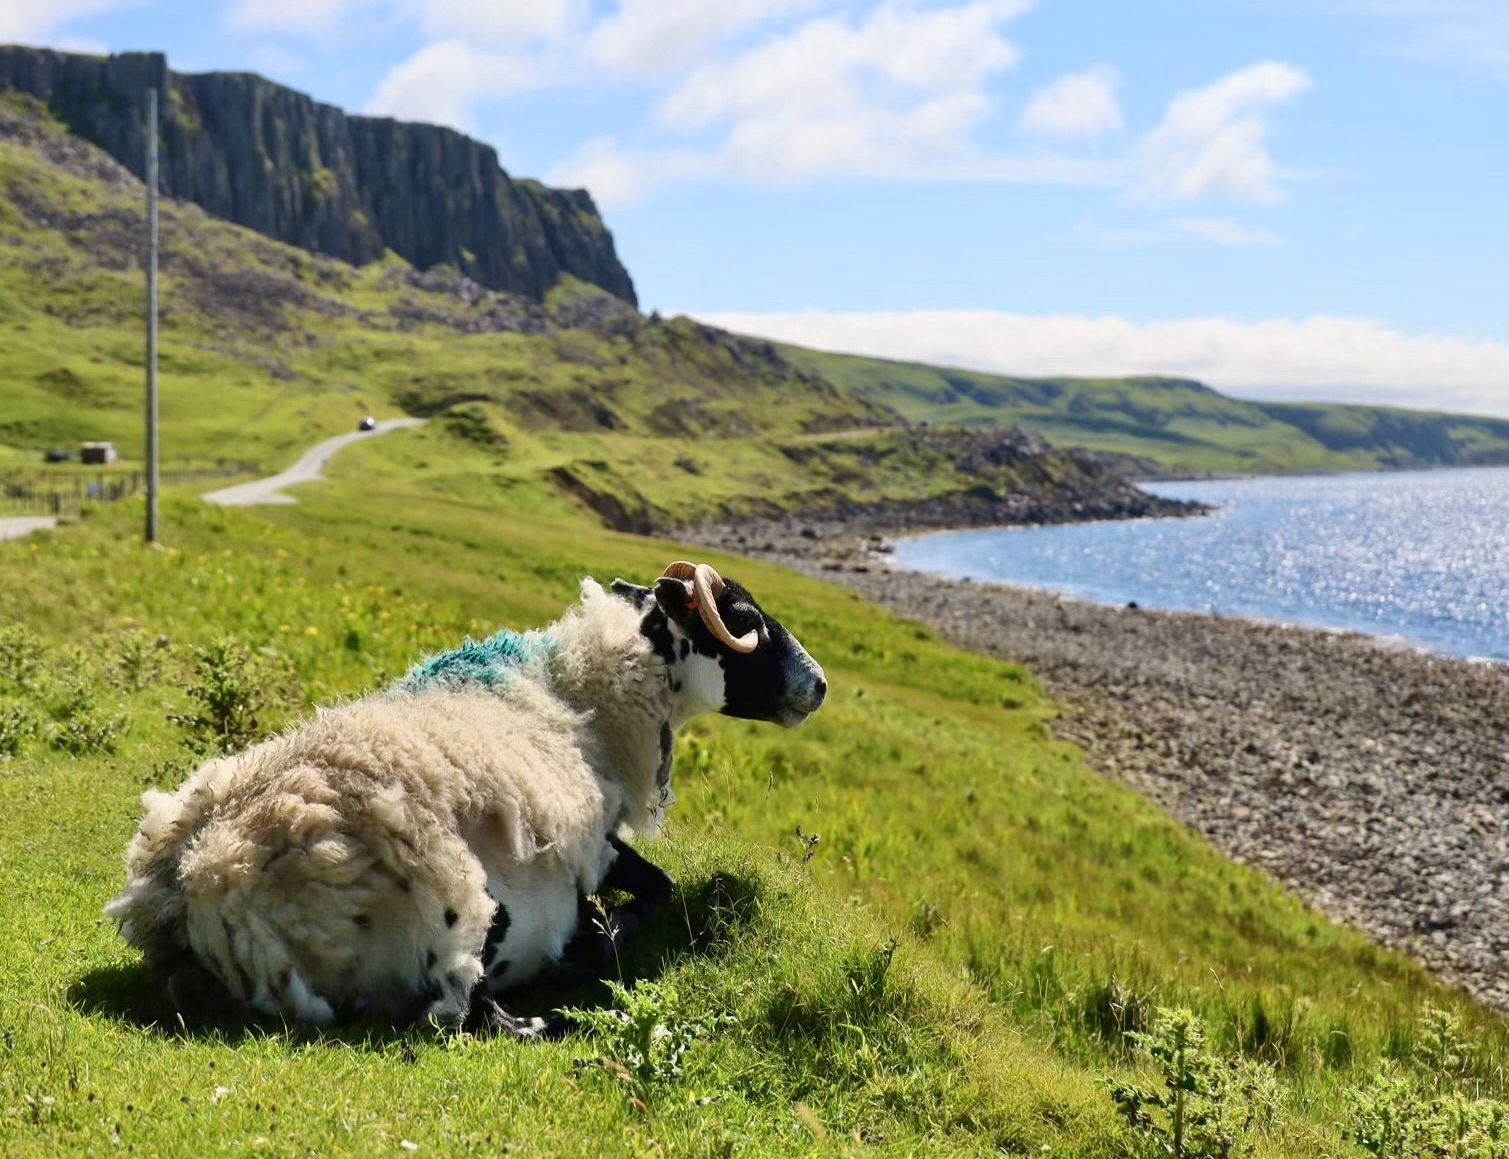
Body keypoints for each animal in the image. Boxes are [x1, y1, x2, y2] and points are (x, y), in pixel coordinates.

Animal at [104, 561, 827, 1037]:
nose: (818, 684)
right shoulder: (594, 847)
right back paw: (559, 1001)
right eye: (744, 619)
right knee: (470, 1015)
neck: (577, 692)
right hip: (466, 914)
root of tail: (212, 885)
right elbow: (659, 888)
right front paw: (603, 935)